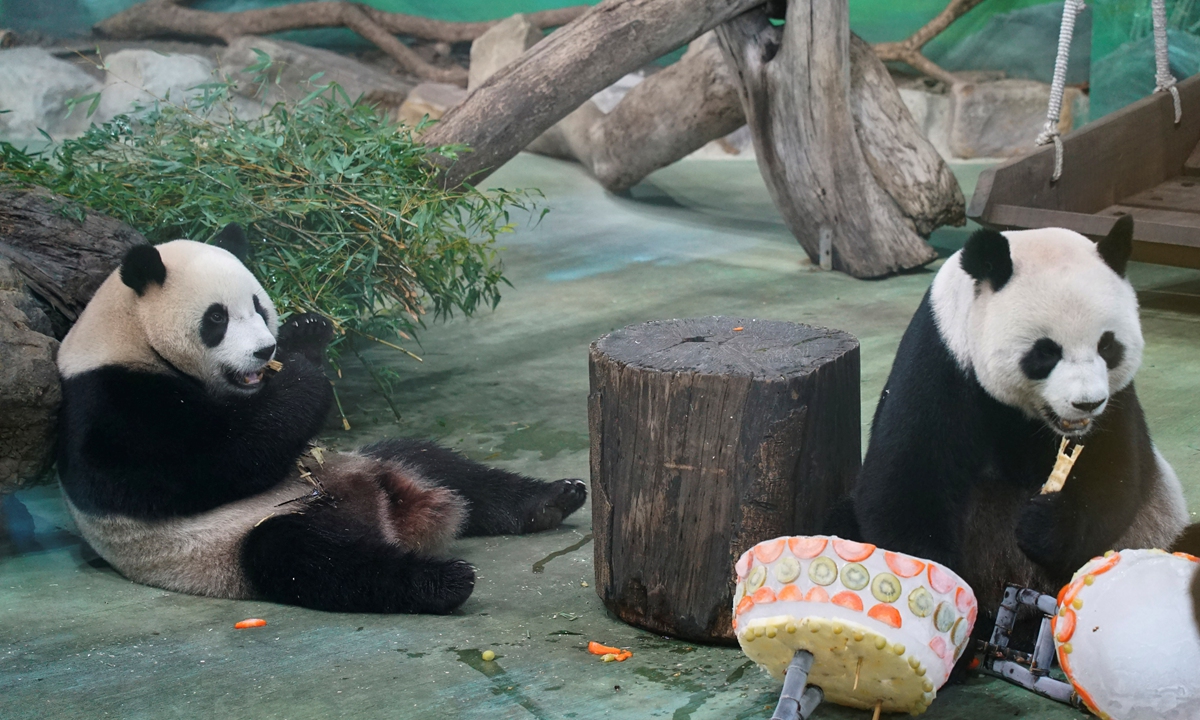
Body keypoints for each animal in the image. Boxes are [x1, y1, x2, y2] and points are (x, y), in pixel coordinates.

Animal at [849, 216, 1195, 628]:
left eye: (1108, 346)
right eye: (1045, 352)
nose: (1087, 403)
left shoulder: (1118, 400)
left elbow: (1117, 473)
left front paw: (1042, 525)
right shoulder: (942, 360)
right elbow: (907, 481)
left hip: (1156, 527)